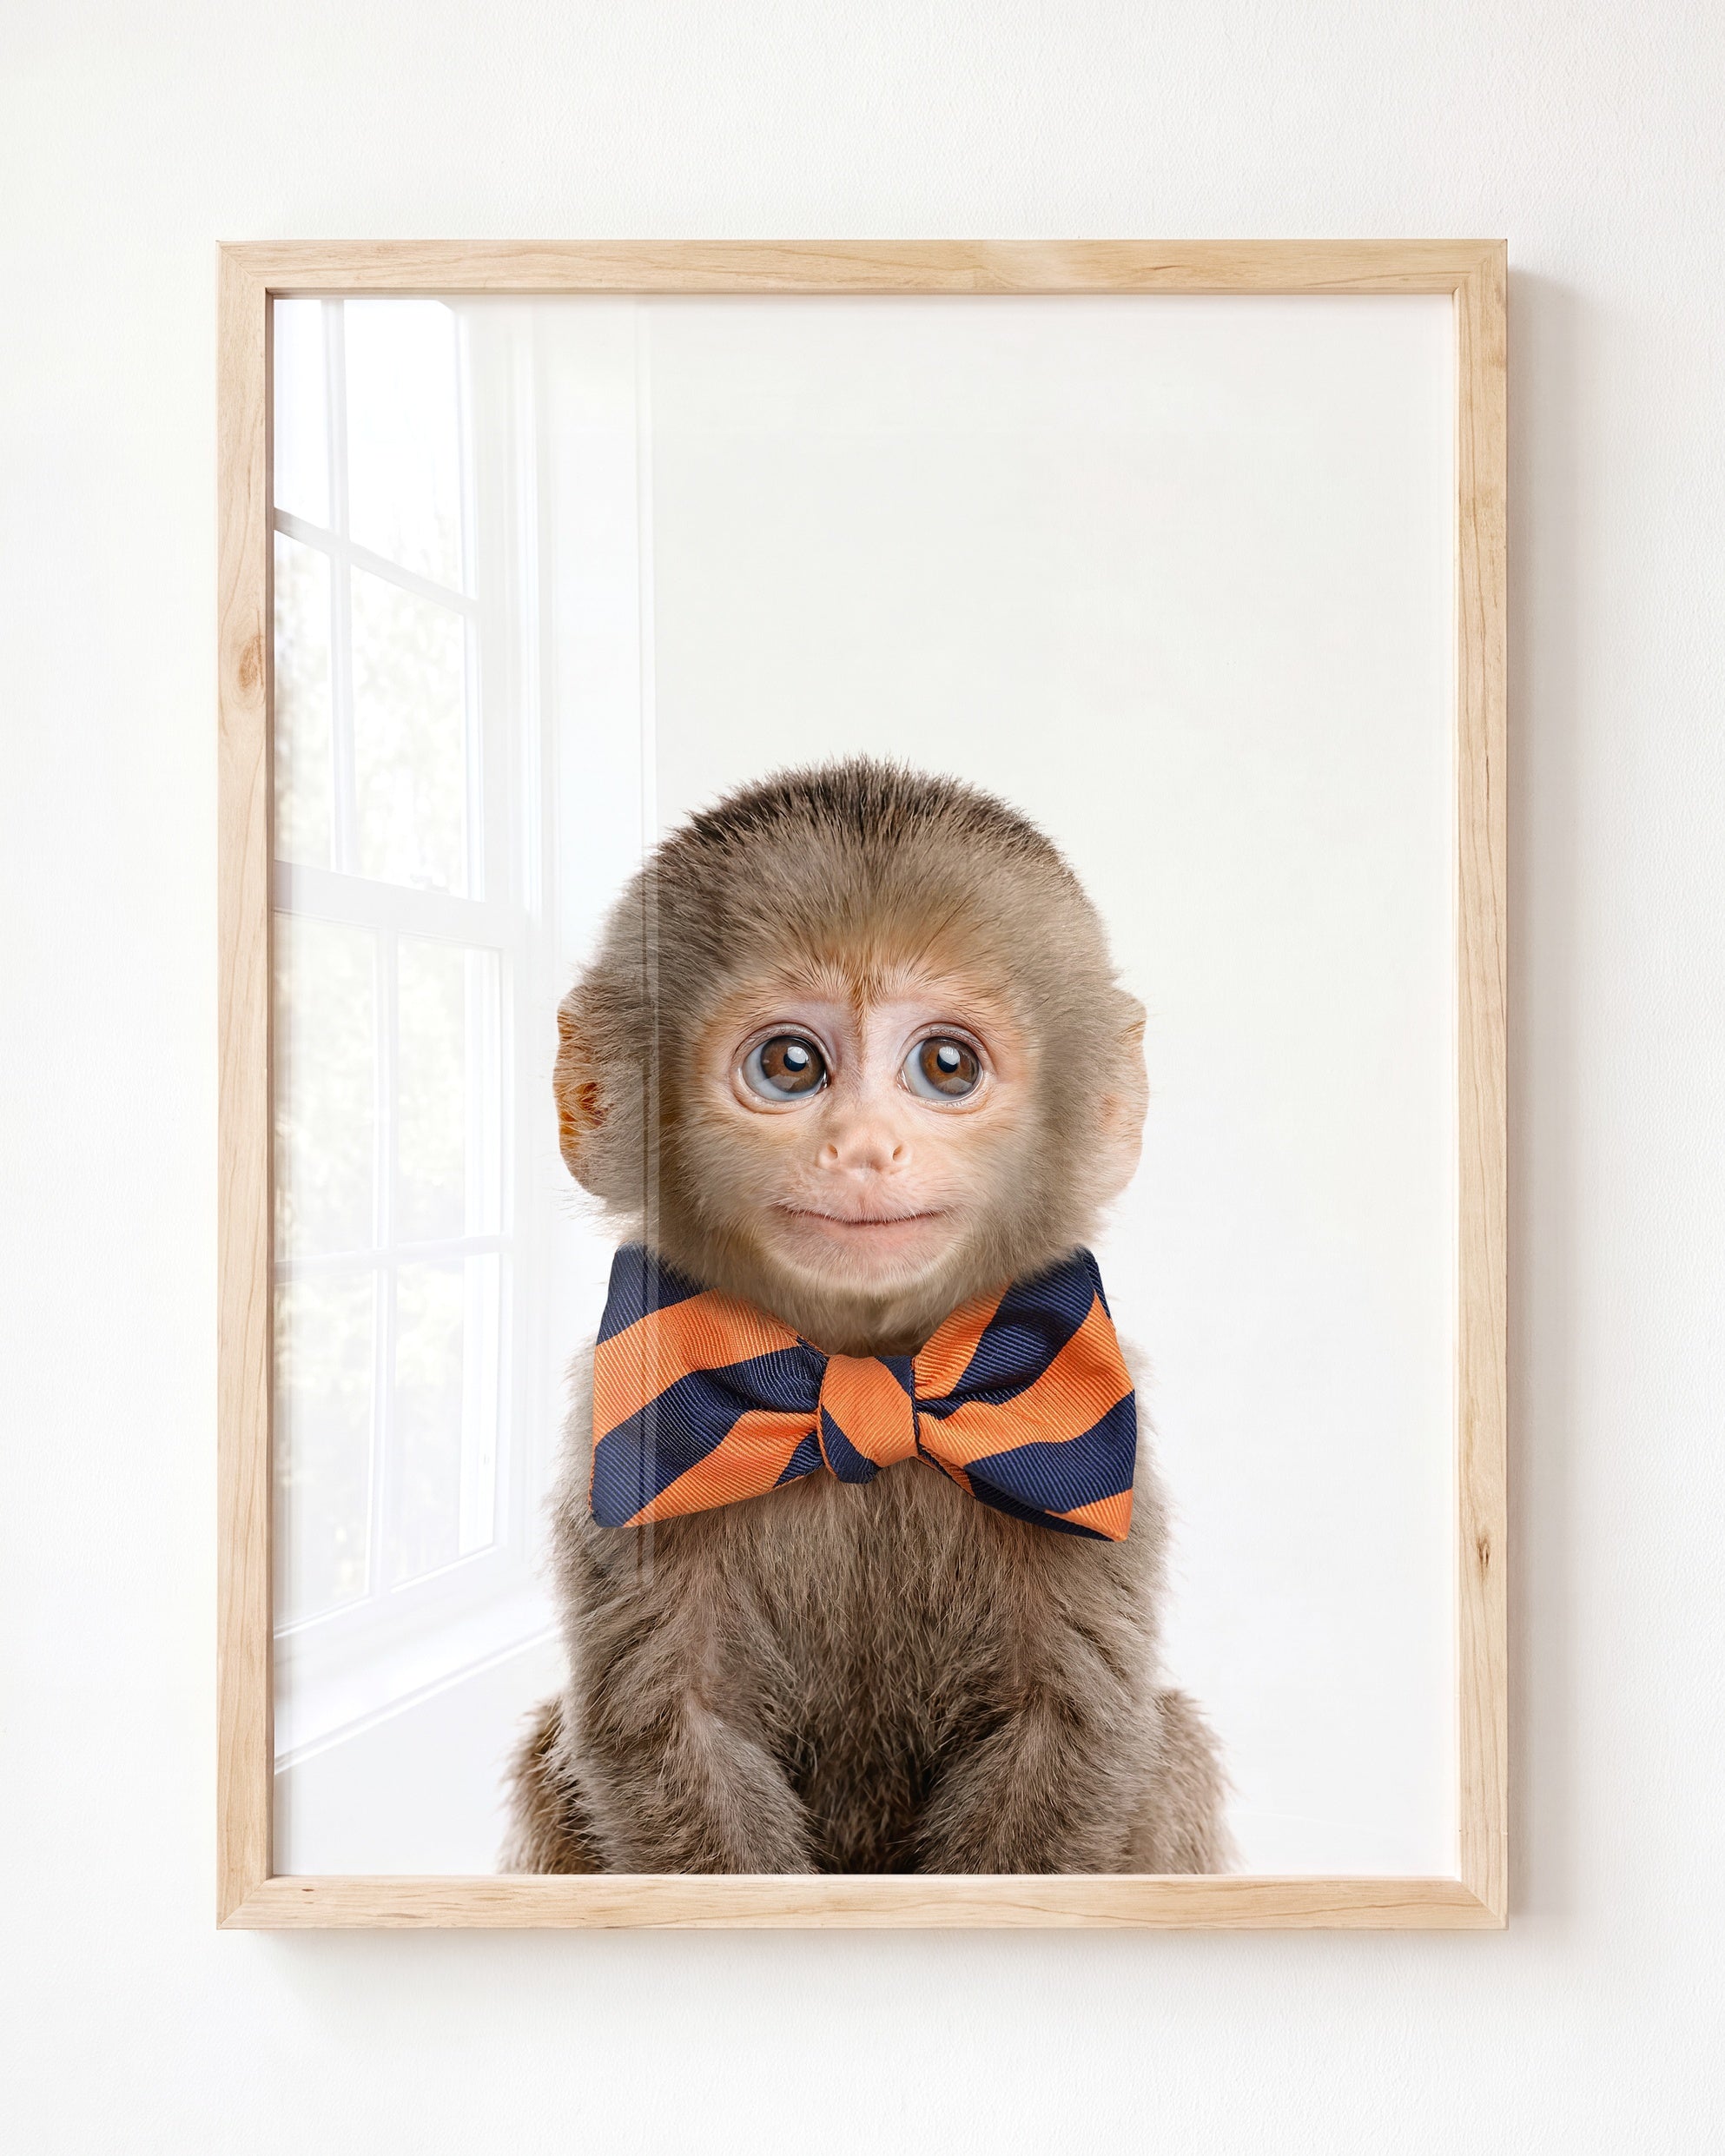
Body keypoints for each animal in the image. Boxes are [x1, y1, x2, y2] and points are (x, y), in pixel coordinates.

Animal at [501, 758, 1230, 1875]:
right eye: (791, 1065)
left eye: (945, 1066)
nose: (863, 1148)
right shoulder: (625, 1431)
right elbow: (672, 1730)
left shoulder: (1100, 1446)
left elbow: (1067, 1730)